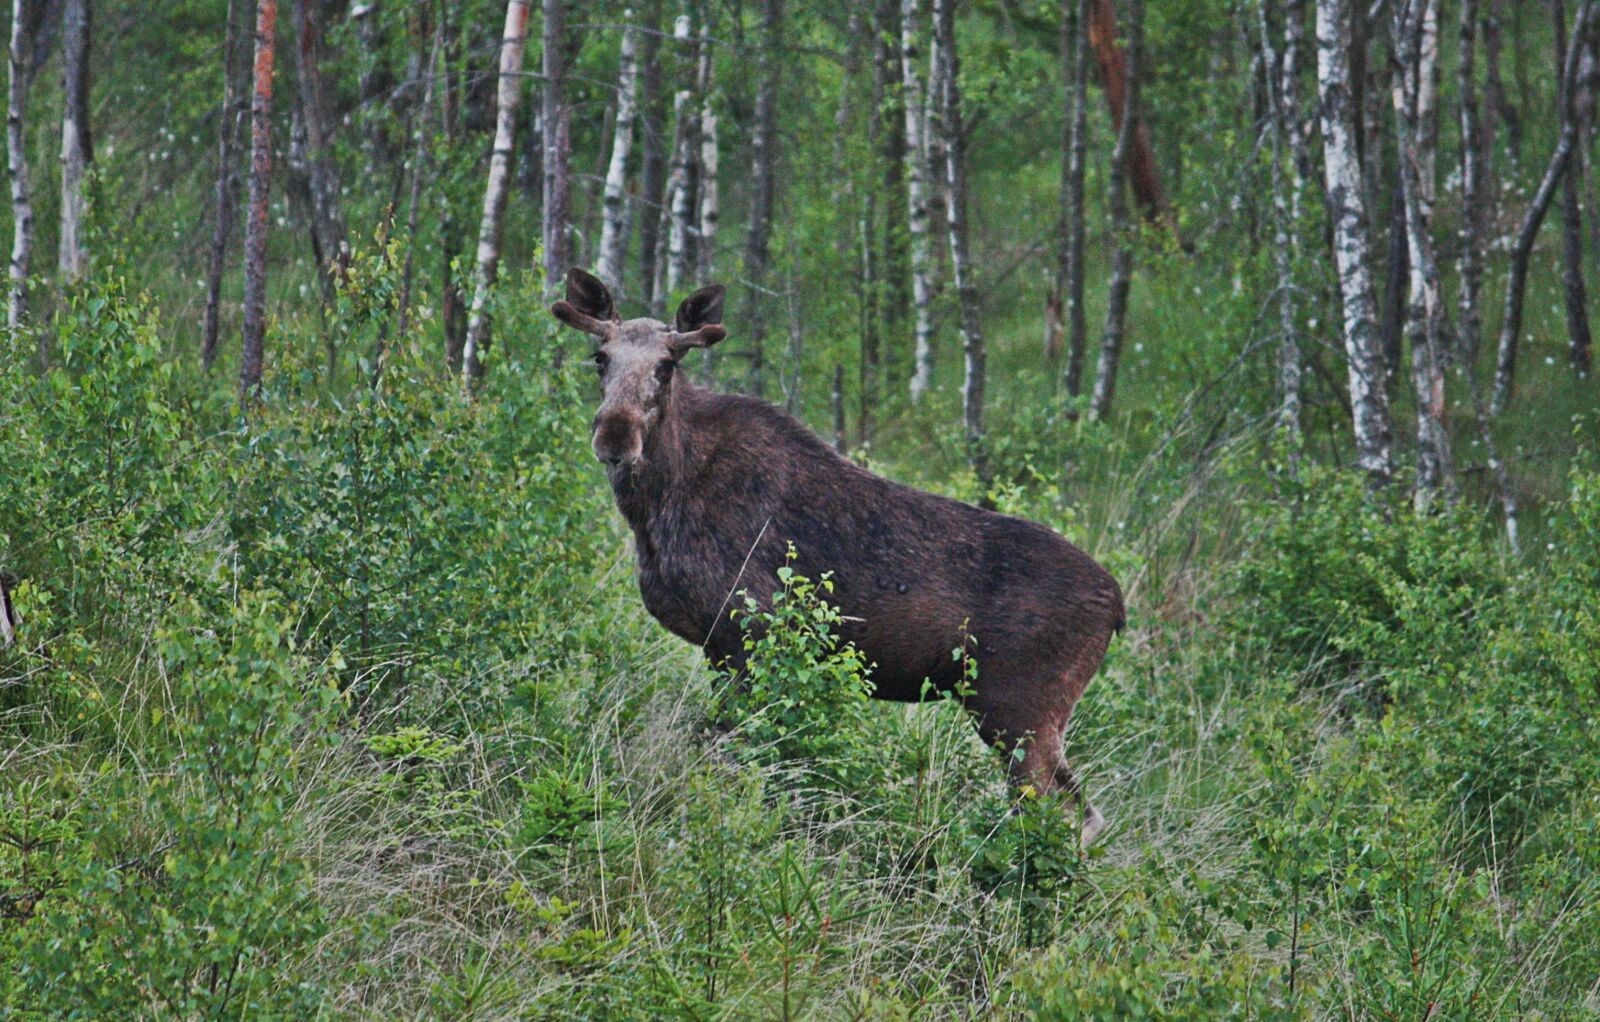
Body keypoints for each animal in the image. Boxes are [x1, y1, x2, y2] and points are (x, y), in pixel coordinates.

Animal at [552, 268, 1125, 847]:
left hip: (1019, 708)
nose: (615, 436)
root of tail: (1118, 608)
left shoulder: (750, 628)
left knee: (1062, 811)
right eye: (600, 357)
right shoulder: (719, 646)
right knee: (1083, 812)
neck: (654, 510)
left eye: (667, 365)